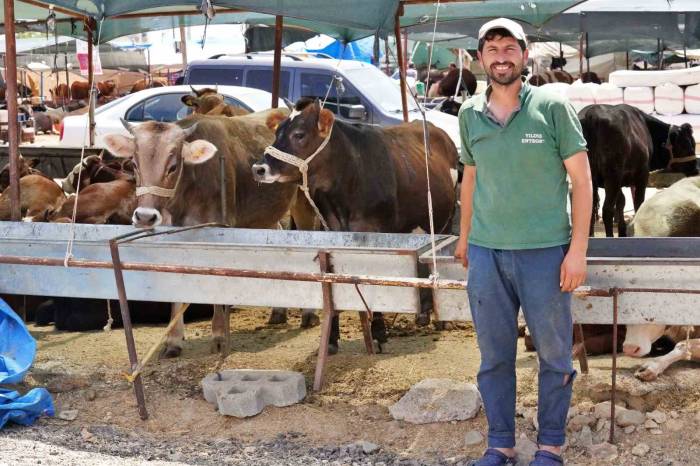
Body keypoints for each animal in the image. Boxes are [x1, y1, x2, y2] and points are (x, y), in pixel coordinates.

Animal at [102, 110, 300, 356]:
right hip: (266, 215)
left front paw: (219, 336)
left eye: (173, 166)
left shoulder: (220, 231)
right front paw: (173, 340)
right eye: (134, 164)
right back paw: (278, 311)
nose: (145, 217)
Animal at [252, 98, 460, 354]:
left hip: (445, 221)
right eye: (277, 132)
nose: (258, 169)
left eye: (299, 134)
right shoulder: (331, 233)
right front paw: (332, 338)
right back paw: (423, 314)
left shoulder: (377, 235)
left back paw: (441, 319)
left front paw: (379, 333)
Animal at [576, 105, 696, 237]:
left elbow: (621, 201)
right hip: (612, 175)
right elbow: (638, 202)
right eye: (685, 146)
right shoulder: (641, 175)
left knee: (590, 206)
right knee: (607, 209)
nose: (695, 168)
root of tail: (592, 115)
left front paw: (622, 230)